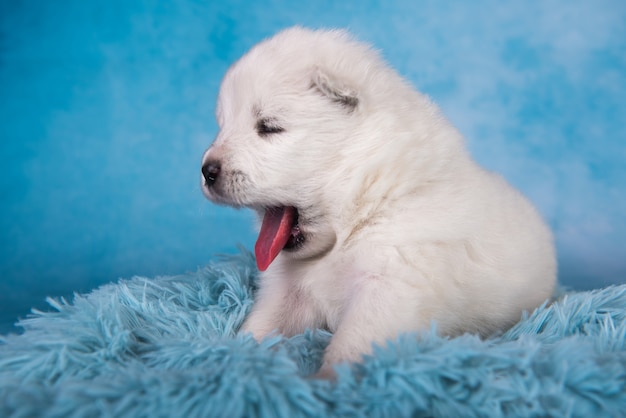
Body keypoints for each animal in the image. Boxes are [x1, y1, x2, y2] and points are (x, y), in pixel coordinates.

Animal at [200, 27, 556, 378]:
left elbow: (352, 342)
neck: (365, 210)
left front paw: (329, 382)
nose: (207, 171)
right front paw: (236, 357)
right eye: (222, 125)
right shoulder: (288, 290)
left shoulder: (390, 286)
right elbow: (262, 324)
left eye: (269, 127)